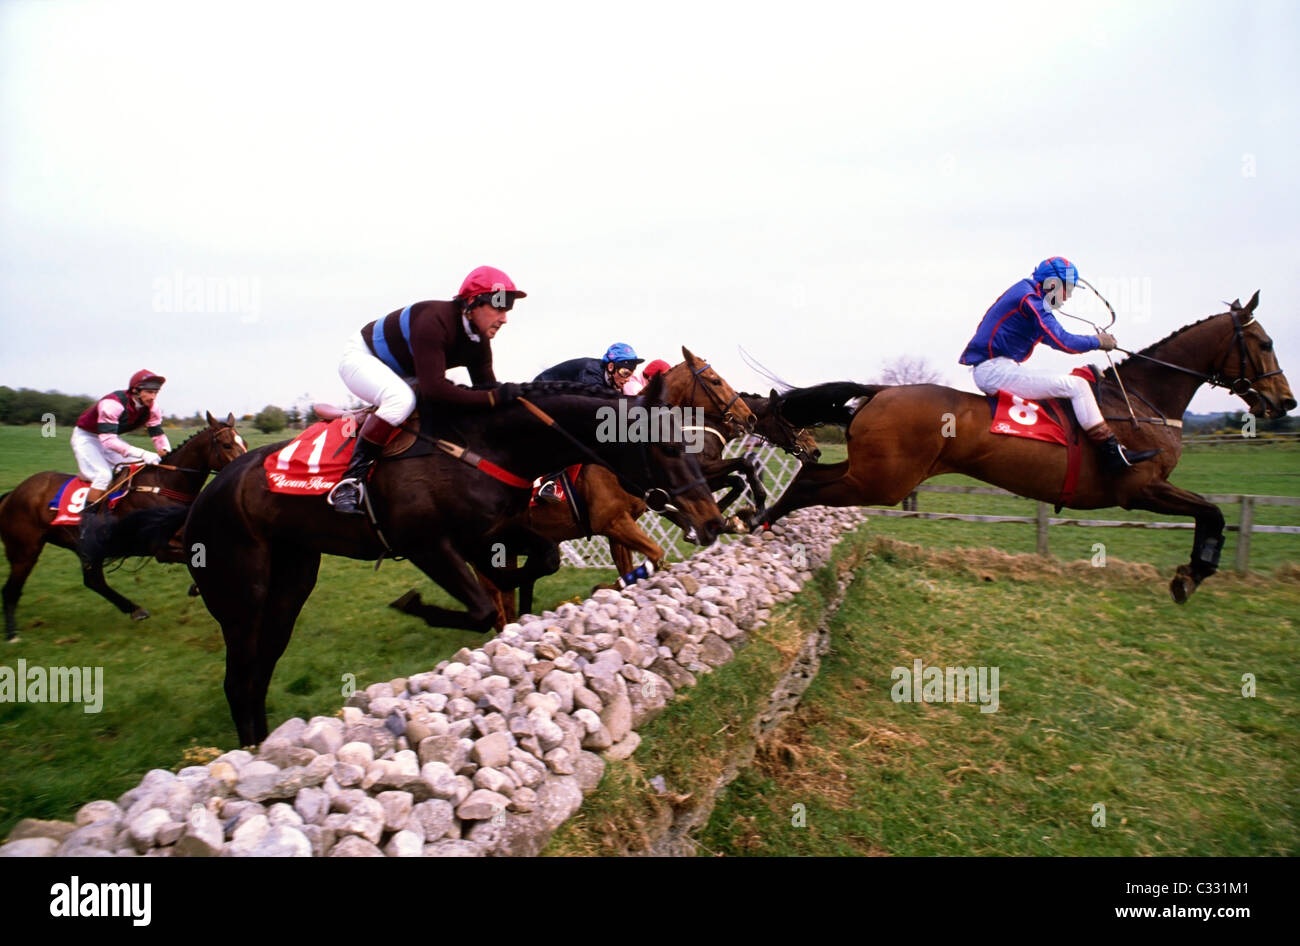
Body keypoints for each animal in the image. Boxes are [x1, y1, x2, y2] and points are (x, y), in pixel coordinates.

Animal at [0, 410, 245, 639]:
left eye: (244, 442)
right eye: (226, 444)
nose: (242, 472)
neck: (164, 485)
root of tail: (12, 494)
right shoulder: (160, 548)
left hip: (86, 549)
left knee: (93, 581)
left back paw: (134, 609)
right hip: (25, 551)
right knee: (11, 590)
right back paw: (12, 634)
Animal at [754, 296, 1289, 602]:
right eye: (1264, 343)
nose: (1285, 401)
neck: (1140, 402)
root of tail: (879, 390)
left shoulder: (1150, 489)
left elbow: (1211, 513)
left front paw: (1191, 573)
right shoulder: (1141, 488)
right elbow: (1213, 513)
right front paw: (1191, 575)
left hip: (872, 472)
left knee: (810, 477)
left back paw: (759, 518)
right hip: (882, 482)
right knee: (809, 485)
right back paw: (759, 519)